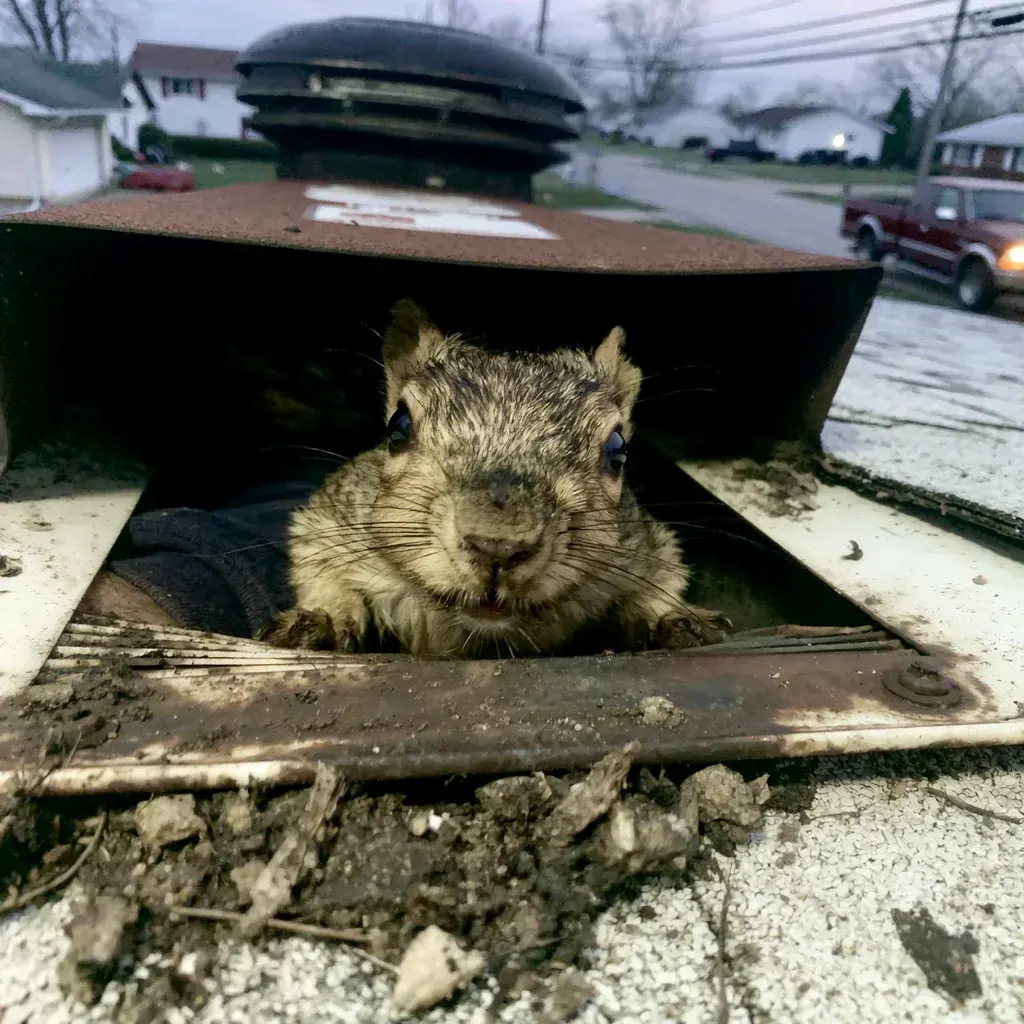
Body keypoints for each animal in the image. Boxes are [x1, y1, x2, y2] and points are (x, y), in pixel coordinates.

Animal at [258, 299, 730, 658]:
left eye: (617, 451)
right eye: (398, 426)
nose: (498, 547)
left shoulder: (645, 543)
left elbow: (662, 577)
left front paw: (671, 616)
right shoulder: (329, 518)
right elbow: (320, 568)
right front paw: (321, 618)